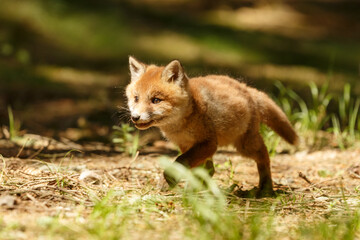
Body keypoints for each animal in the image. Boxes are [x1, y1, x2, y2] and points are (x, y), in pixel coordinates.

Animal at [125, 56, 300, 197]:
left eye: (156, 100)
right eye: (136, 98)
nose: (135, 117)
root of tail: (246, 88)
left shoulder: (208, 143)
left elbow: (180, 161)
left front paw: (168, 179)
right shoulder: (187, 145)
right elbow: (194, 166)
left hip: (245, 146)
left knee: (265, 156)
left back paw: (266, 189)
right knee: (211, 169)